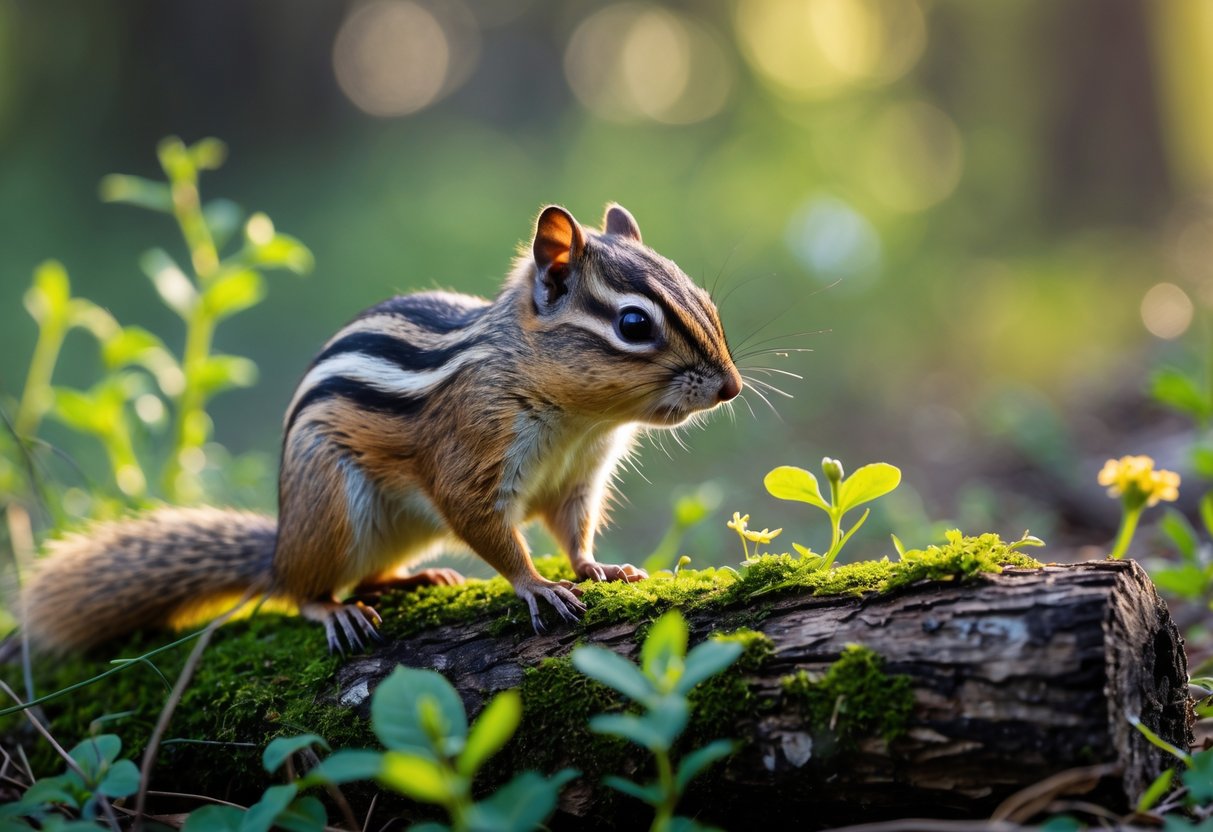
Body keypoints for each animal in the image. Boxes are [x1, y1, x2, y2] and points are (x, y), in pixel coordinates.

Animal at [21, 203, 743, 654]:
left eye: (707, 302)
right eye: (633, 324)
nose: (730, 387)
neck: (578, 421)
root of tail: (280, 543)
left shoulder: (578, 479)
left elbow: (573, 529)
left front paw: (598, 566)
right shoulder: (469, 456)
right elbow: (488, 528)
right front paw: (537, 585)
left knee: (367, 576)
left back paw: (416, 580)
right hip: (334, 510)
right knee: (300, 591)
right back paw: (334, 609)